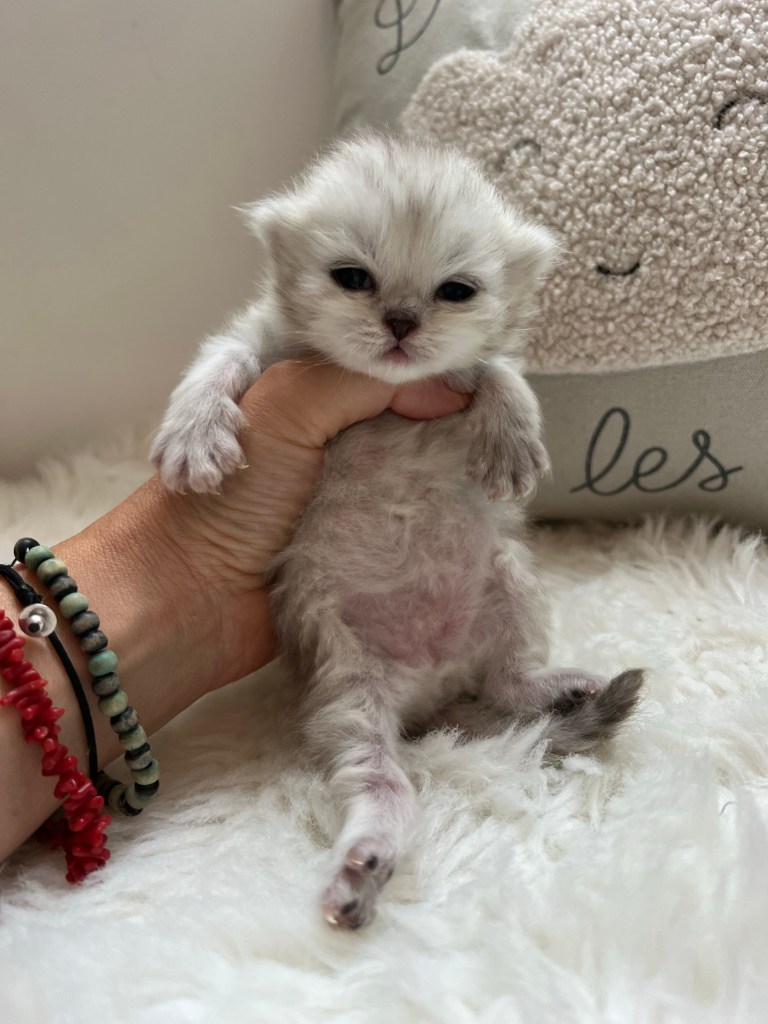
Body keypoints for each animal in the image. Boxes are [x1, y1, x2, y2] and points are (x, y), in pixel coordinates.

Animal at [151, 133, 644, 929]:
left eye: (456, 291)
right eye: (353, 278)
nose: (403, 322)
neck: (385, 398)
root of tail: (432, 682)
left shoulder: (456, 376)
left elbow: (497, 369)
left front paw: (511, 432)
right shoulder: (266, 349)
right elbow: (222, 357)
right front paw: (193, 433)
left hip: (510, 579)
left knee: (506, 683)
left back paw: (558, 687)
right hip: (346, 691)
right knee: (381, 779)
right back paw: (366, 857)